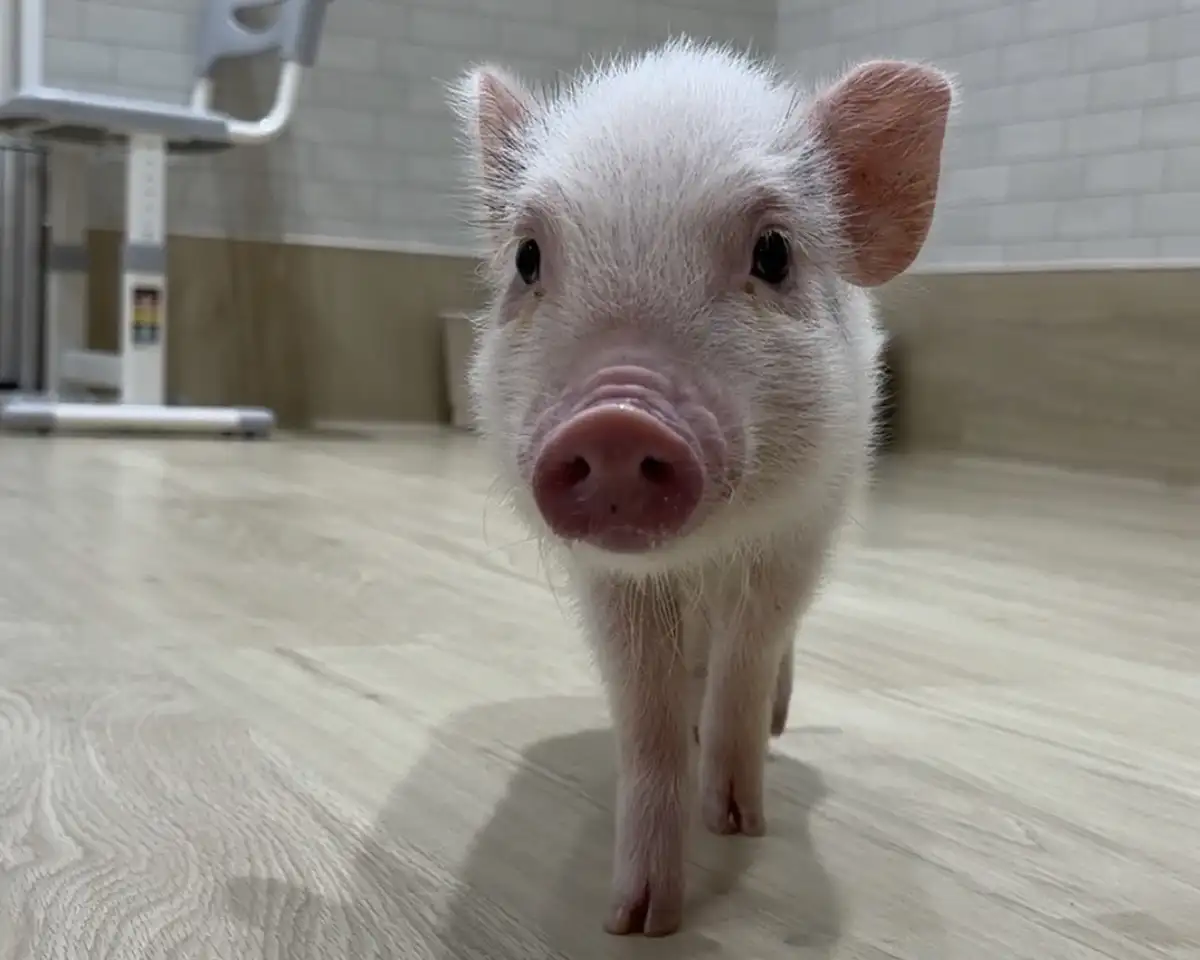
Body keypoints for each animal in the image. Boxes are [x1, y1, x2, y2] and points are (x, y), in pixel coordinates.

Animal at [451, 38, 954, 936]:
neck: (705, 550)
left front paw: (737, 823)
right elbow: (643, 711)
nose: (616, 420)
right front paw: (636, 921)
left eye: (774, 253)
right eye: (528, 258)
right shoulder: (612, 581)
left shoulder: (799, 534)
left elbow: (750, 658)